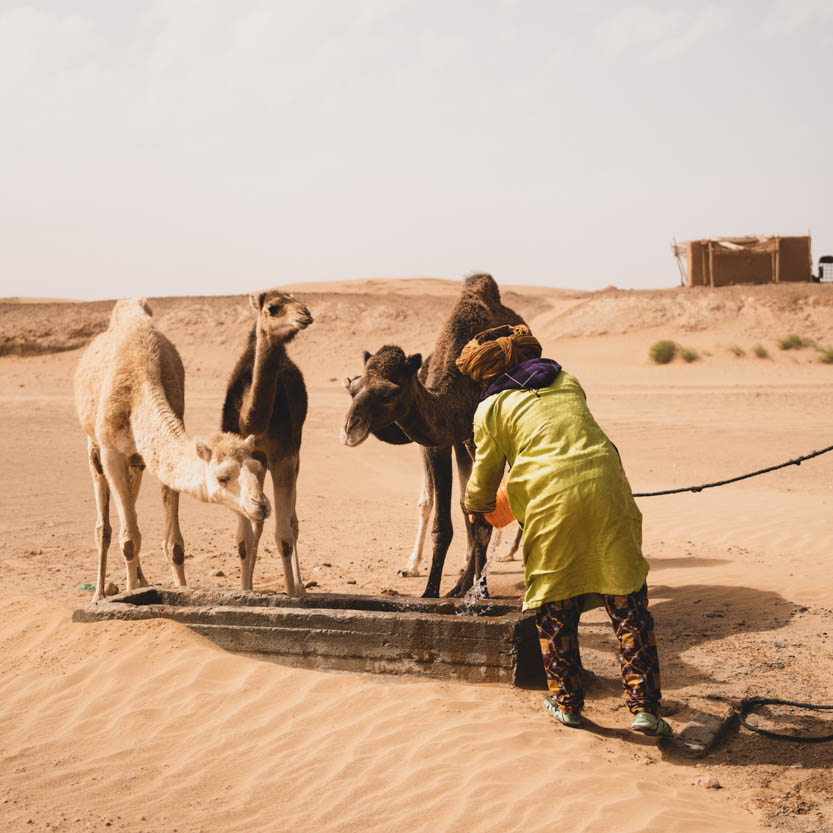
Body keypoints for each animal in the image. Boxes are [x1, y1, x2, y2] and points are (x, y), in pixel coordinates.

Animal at [74, 296, 270, 600]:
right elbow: (128, 539)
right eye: (222, 477)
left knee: (131, 508)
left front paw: (178, 590)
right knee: (104, 527)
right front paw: (129, 596)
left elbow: (173, 545)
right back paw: (100, 595)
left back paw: (142, 581)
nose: (260, 504)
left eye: (258, 468)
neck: (141, 383)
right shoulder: (111, 452)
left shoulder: (157, 453)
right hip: (94, 448)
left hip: (137, 461)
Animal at [221, 290, 312, 596]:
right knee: (258, 521)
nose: (306, 313)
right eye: (273, 307)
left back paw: (300, 586)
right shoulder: (242, 460)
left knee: (292, 522)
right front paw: (245, 590)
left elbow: (284, 534)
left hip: (295, 454)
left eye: (297, 300)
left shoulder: (284, 456)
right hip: (260, 464)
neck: (252, 423)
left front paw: (292, 593)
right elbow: (243, 539)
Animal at [340, 276, 528, 596]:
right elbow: (447, 518)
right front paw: (432, 590)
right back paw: (461, 582)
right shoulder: (438, 443)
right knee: (465, 504)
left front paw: (481, 592)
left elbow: (481, 518)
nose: (350, 430)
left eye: (390, 393)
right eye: (352, 389)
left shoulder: (480, 440)